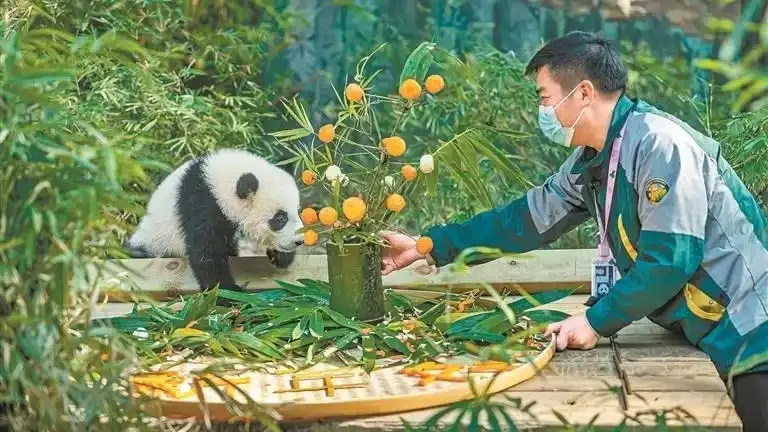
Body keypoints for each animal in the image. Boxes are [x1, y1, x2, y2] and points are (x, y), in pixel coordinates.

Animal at [125, 148, 304, 293]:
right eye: (280, 218)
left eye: (298, 211)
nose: (299, 241)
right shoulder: (201, 203)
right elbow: (206, 251)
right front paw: (227, 292)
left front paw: (282, 257)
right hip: (154, 241)